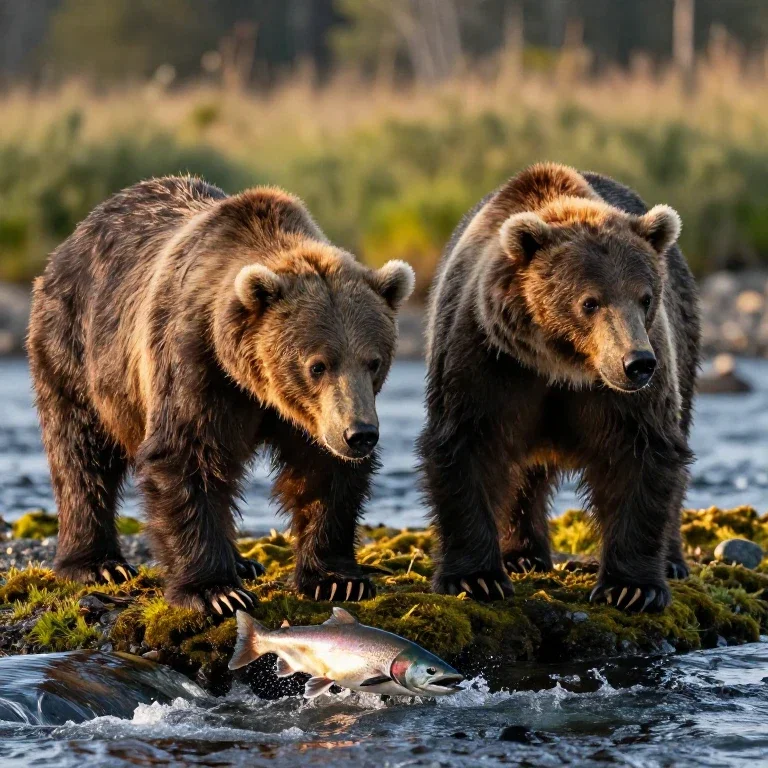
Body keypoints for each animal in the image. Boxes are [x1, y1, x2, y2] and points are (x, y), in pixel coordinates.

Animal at [27, 176, 415, 614]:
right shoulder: (194, 362)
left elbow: (324, 472)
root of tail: (75, 236)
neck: (255, 385)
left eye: (374, 361)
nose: (360, 434)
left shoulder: (311, 417)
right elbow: (186, 456)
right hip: (74, 345)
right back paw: (97, 564)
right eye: (318, 365)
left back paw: (244, 562)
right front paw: (216, 591)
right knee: (81, 454)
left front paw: (338, 580)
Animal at [418, 163, 700, 612]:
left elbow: (643, 452)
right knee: (522, 476)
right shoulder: (487, 359)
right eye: (590, 302)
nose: (637, 363)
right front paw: (477, 578)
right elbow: (466, 445)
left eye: (645, 297)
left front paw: (633, 587)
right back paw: (521, 555)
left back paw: (672, 560)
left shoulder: (627, 392)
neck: (561, 365)